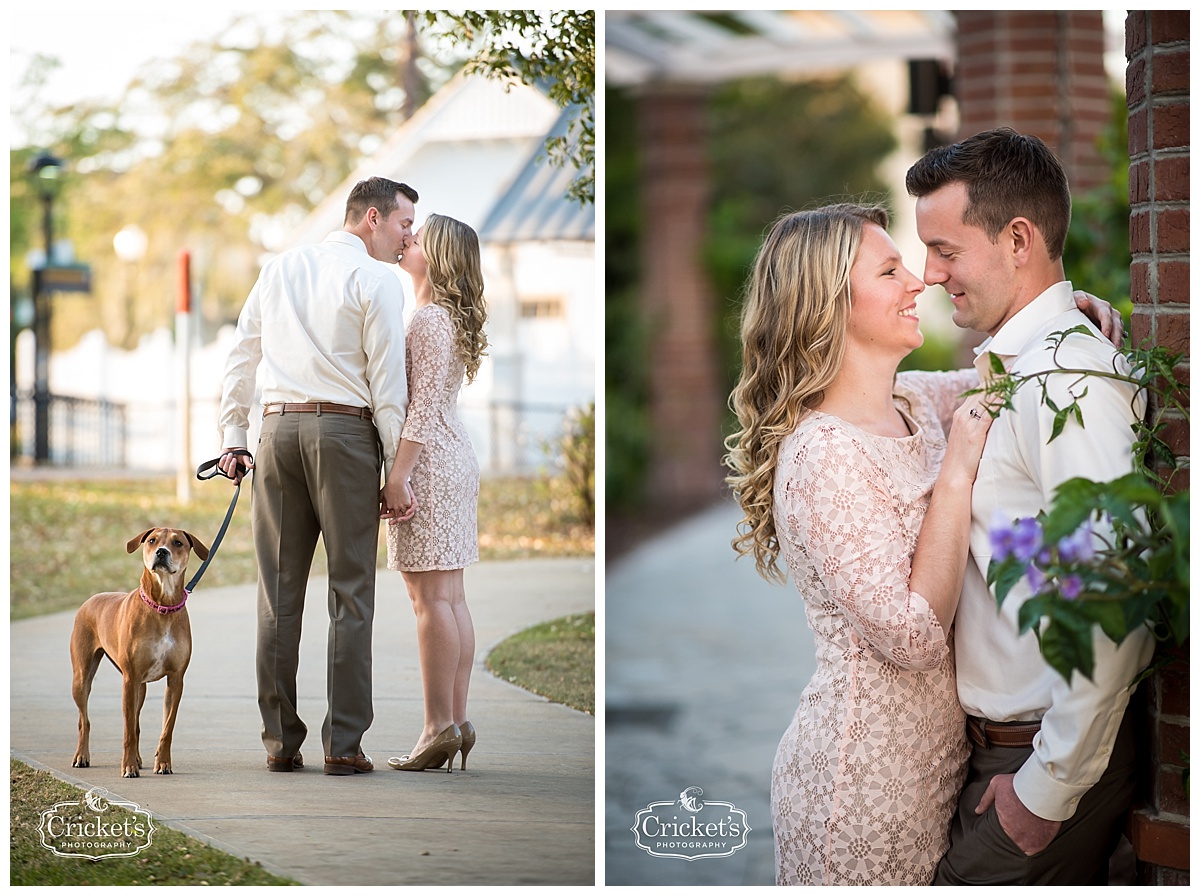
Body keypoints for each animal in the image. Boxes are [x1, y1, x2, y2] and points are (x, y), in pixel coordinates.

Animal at [69, 525, 208, 777]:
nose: (161, 552)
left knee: (136, 723)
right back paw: (82, 756)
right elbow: (127, 731)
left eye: (178, 543)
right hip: (82, 676)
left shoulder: (176, 679)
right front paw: (128, 766)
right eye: (152, 540)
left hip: (140, 688)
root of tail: (90, 599)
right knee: (85, 720)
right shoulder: (129, 678)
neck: (162, 606)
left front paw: (162, 763)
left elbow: (167, 727)